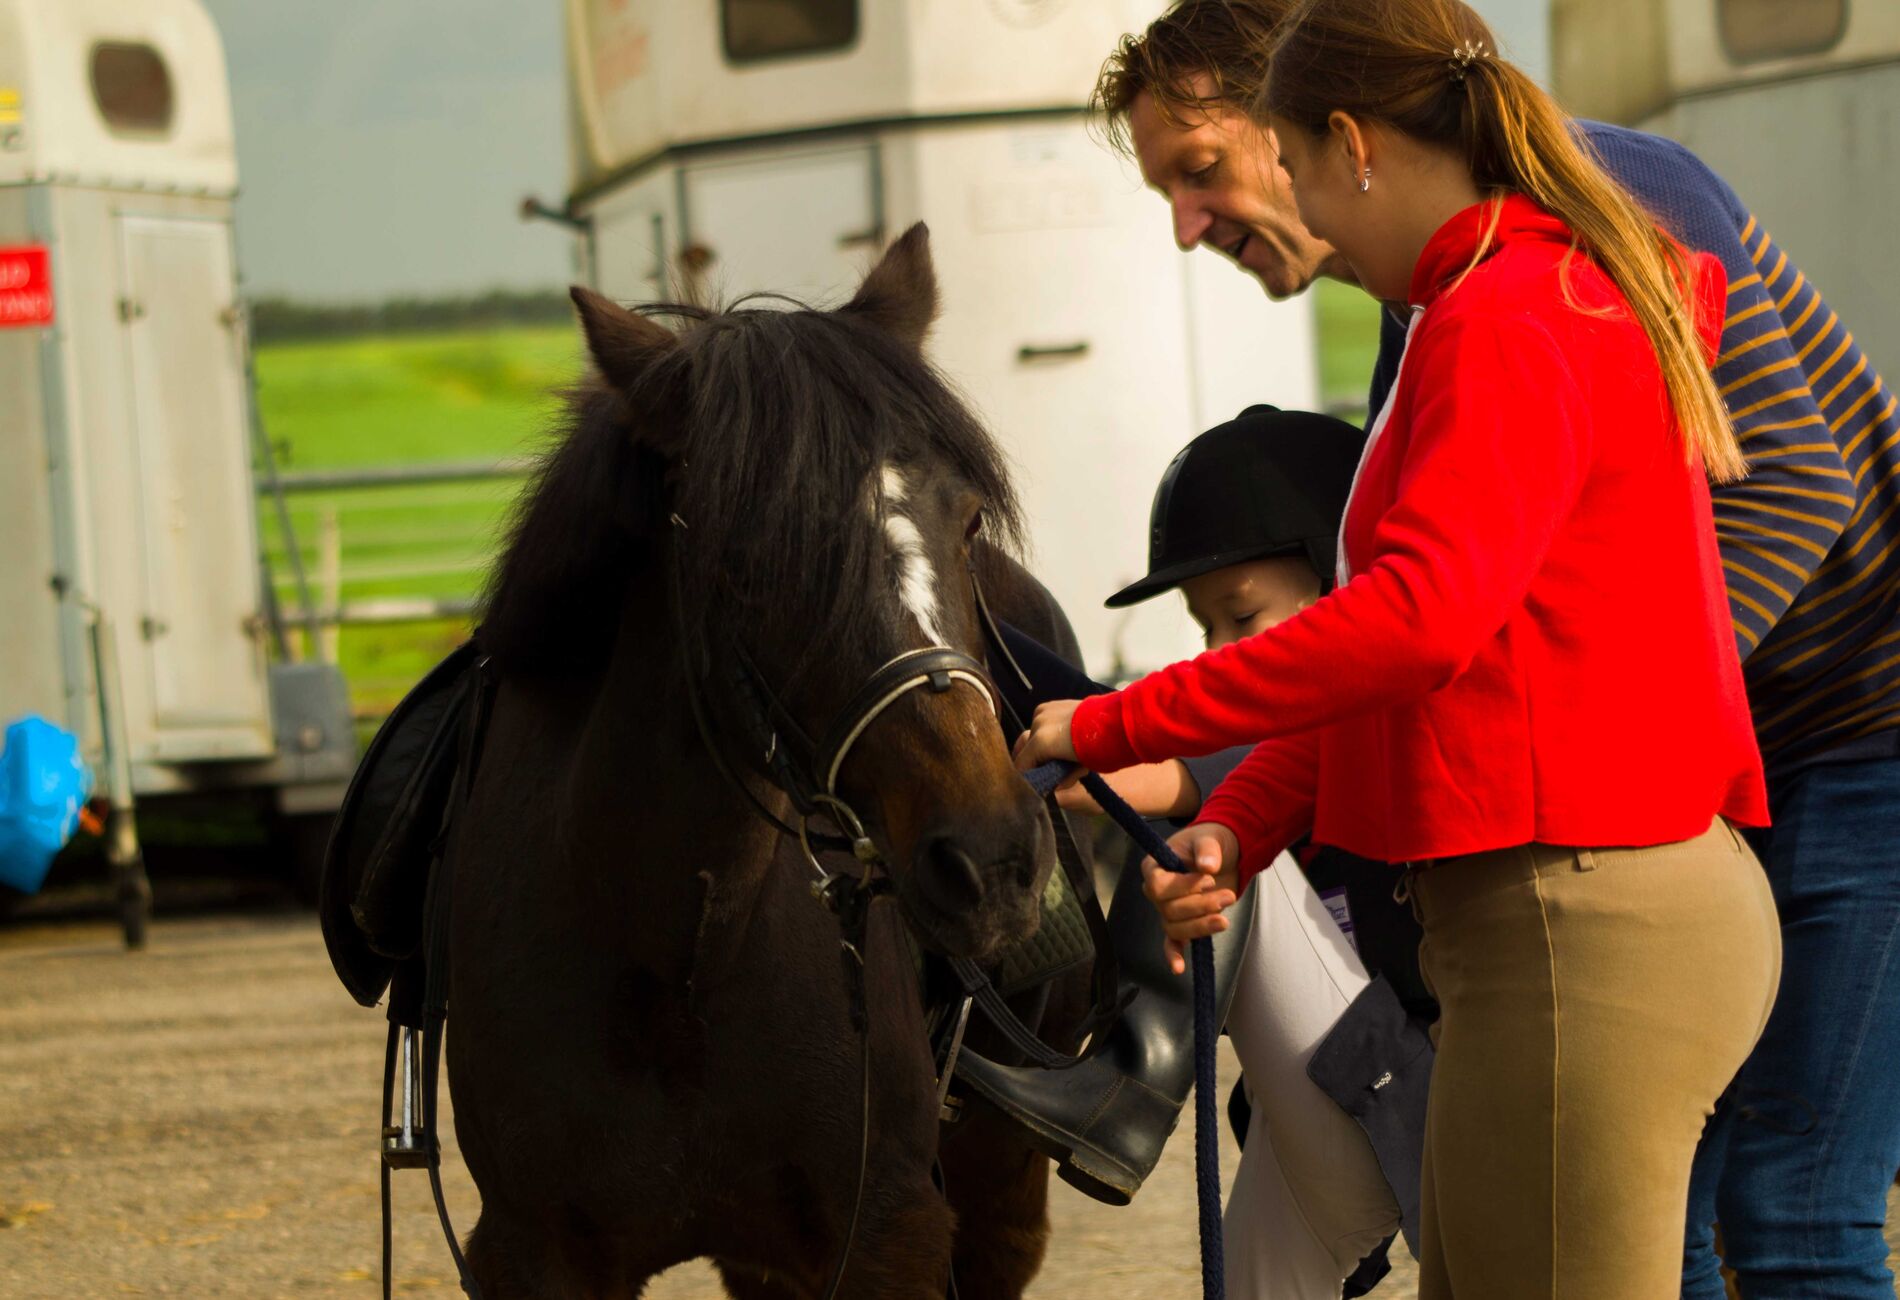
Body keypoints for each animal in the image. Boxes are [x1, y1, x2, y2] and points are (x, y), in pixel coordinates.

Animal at [444, 224, 1093, 1298]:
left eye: (964, 523)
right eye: (755, 559)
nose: (994, 859)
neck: (676, 961)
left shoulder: (888, 1234)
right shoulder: (535, 1253)